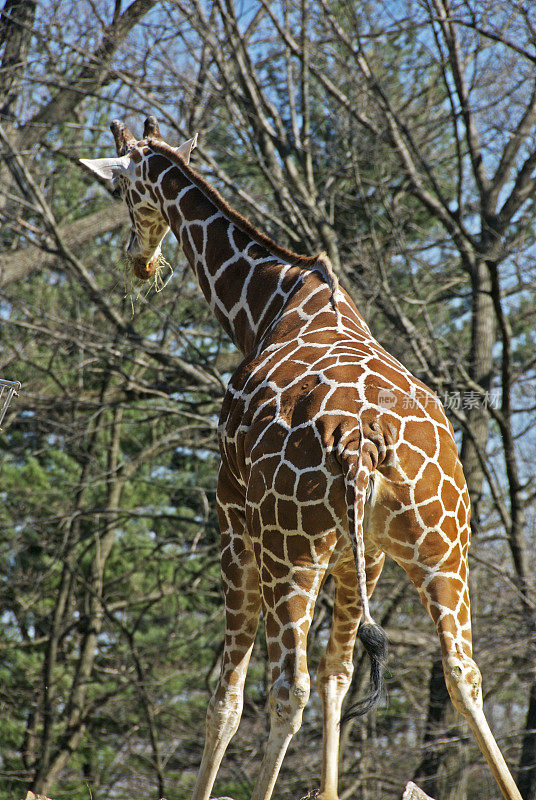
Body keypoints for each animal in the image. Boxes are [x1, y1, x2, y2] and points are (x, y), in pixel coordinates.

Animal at [80, 117, 524, 800]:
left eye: (121, 190)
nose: (138, 260)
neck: (266, 305)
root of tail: (363, 443)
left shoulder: (232, 516)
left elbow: (229, 697)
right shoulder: (361, 555)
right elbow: (341, 673)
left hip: (290, 550)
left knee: (289, 689)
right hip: (441, 547)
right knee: (459, 672)